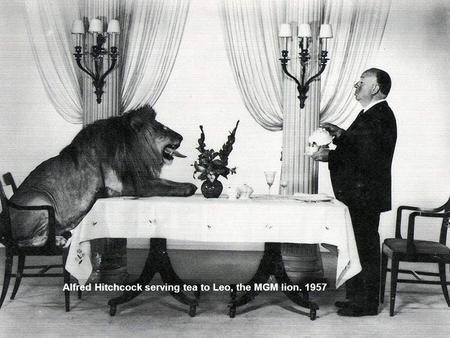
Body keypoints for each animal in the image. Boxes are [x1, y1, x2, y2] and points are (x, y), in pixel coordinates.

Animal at [1, 105, 197, 246]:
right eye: (163, 128)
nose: (181, 137)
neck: (133, 148)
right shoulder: (130, 185)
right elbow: (164, 185)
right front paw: (189, 187)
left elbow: (167, 182)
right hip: (41, 200)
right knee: (24, 241)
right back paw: (58, 240)